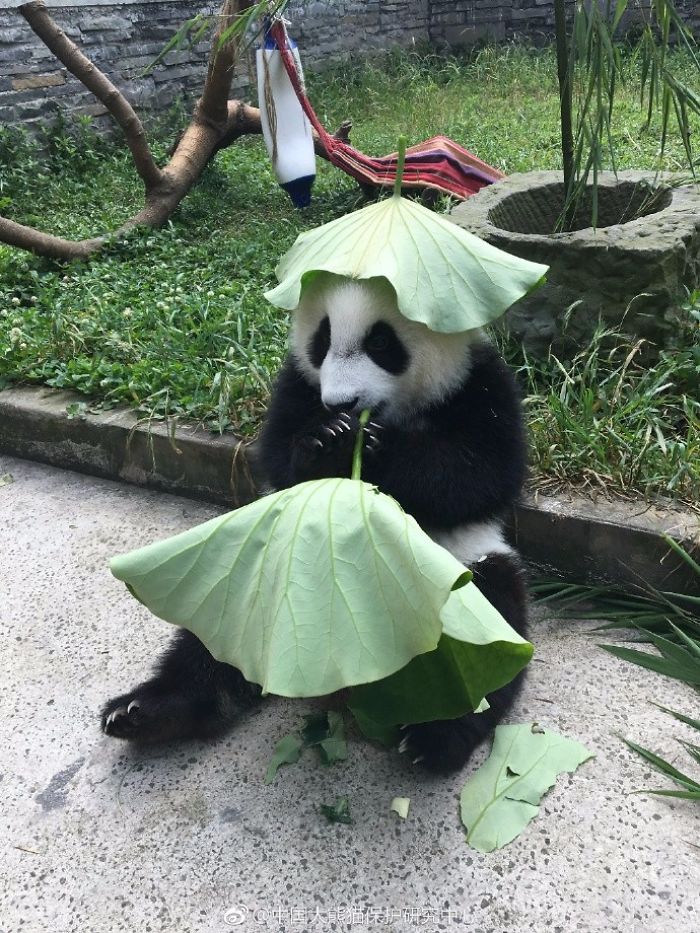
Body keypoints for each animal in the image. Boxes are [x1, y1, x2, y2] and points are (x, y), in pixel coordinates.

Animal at [101, 272, 528, 773]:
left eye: (381, 341)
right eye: (321, 341)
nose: (341, 402)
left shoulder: (478, 382)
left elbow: (484, 473)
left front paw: (374, 448)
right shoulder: (297, 383)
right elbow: (277, 457)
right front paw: (327, 442)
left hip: (462, 572)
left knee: (488, 638)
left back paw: (436, 739)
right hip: (247, 576)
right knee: (211, 641)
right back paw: (145, 712)